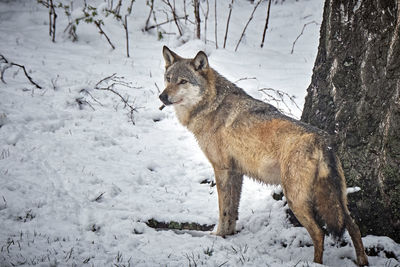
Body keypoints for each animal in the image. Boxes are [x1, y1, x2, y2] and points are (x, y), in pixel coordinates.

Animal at [159, 46, 368, 266]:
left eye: (183, 81)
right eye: (168, 79)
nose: (162, 97)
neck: (211, 105)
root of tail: (322, 140)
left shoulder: (221, 169)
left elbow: (223, 209)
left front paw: (217, 236)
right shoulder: (236, 172)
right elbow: (232, 210)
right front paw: (228, 235)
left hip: (296, 200)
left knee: (319, 233)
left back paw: (315, 263)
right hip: (337, 200)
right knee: (353, 226)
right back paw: (362, 261)